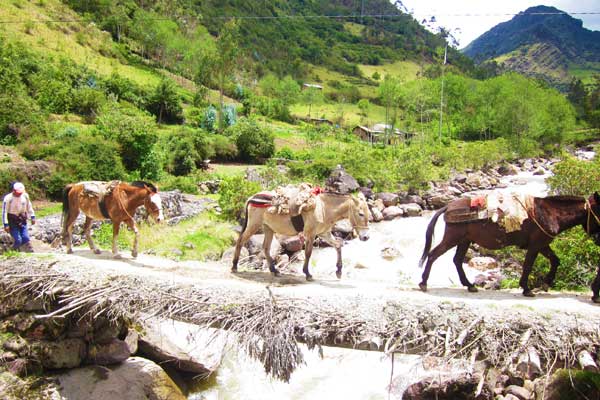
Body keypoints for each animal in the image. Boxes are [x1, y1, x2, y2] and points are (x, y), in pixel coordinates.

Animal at [231, 191, 368, 280]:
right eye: (360, 214)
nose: (366, 237)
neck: (324, 209)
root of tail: (252, 197)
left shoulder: (325, 234)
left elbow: (338, 246)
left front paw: (339, 271)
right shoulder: (311, 235)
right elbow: (308, 253)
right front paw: (307, 273)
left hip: (268, 228)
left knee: (265, 248)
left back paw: (274, 270)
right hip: (254, 225)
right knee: (240, 241)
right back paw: (234, 266)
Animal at [418, 194, 600, 296]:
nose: (597, 238)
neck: (551, 213)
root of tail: (448, 206)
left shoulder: (543, 245)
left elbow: (555, 261)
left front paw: (545, 284)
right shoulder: (536, 245)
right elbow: (528, 266)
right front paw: (527, 289)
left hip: (464, 240)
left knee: (456, 260)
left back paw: (469, 285)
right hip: (453, 238)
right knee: (433, 254)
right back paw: (424, 283)